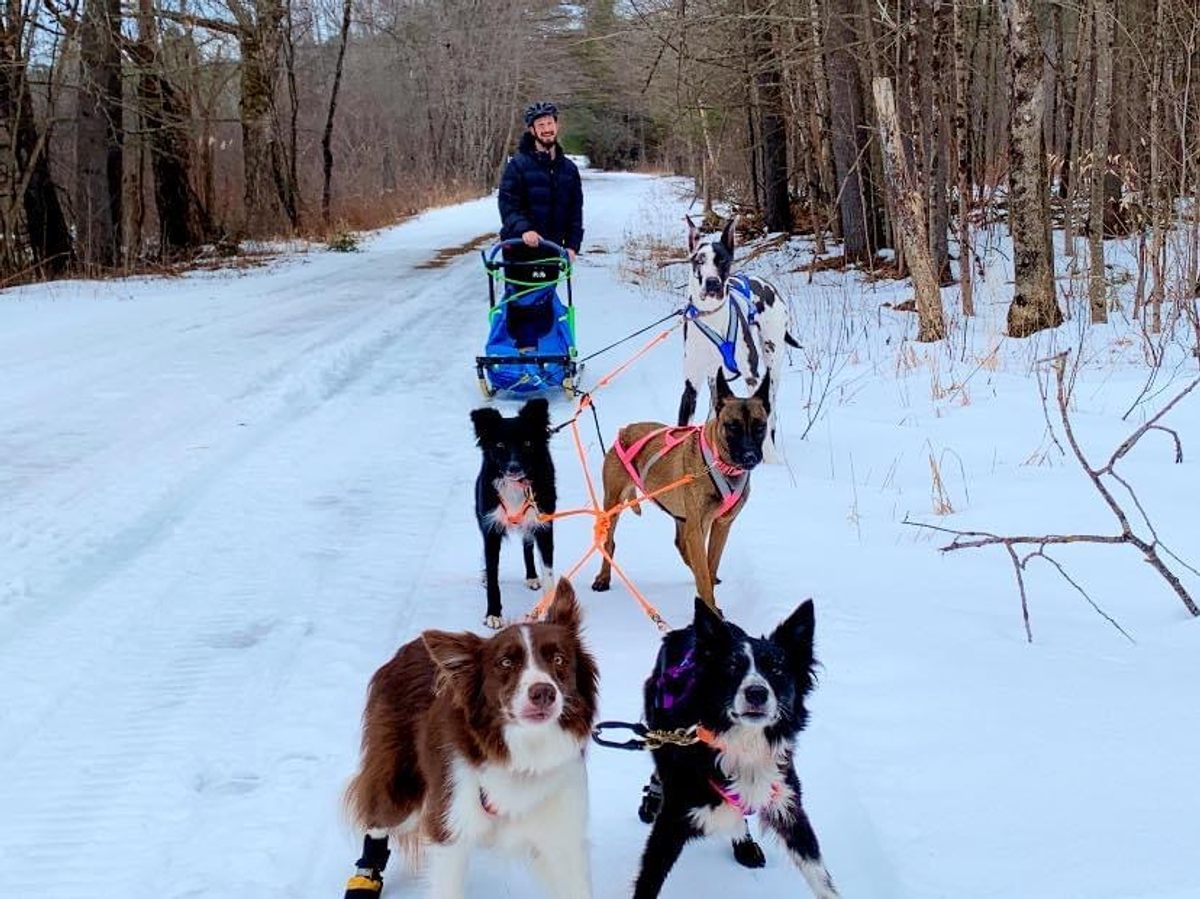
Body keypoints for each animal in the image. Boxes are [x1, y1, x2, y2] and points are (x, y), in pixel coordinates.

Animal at [588, 369, 768, 609]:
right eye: (732, 426)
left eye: (760, 426)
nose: (750, 456)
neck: (720, 465)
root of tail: (626, 430)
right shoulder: (698, 527)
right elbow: (703, 571)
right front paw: (711, 608)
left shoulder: (721, 525)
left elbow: (709, 567)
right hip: (613, 504)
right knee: (609, 542)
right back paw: (603, 578)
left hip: (682, 516)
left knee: (682, 545)